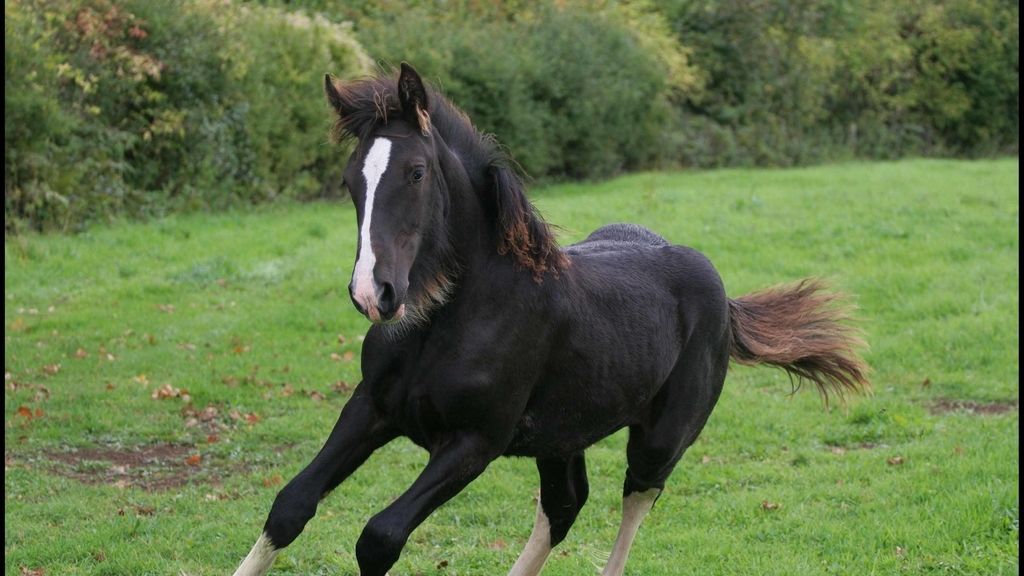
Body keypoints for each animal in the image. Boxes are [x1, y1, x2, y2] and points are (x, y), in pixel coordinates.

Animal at [233, 63, 869, 576]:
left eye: (415, 172)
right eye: (350, 181)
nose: (374, 294)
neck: (448, 319)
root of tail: (727, 302)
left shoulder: (474, 441)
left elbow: (379, 537)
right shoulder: (371, 407)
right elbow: (290, 505)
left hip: (660, 440)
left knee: (634, 500)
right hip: (562, 434)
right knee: (564, 506)